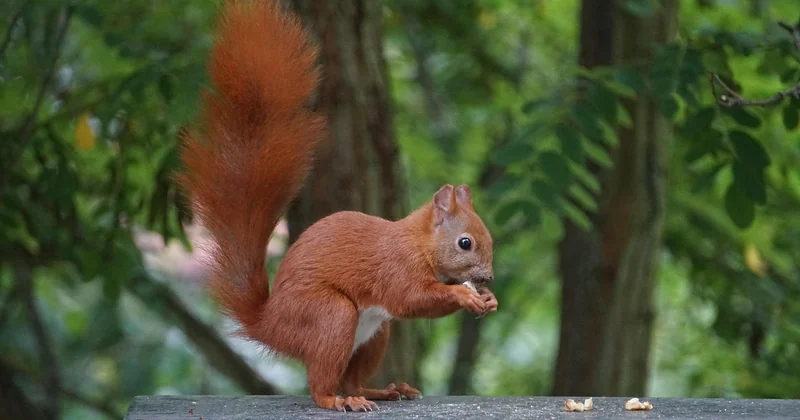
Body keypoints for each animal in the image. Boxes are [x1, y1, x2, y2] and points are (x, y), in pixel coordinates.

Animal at [177, 0, 498, 412]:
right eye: (465, 243)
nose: (487, 279)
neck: (419, 243)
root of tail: (269, 324)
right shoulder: (396, 268)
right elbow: (411, 299)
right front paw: (464, 295)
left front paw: (488, 300)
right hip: (330, 316)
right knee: (322, 384)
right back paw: (338, 400)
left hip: (375, 333)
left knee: (353, 378)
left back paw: (380, 391)